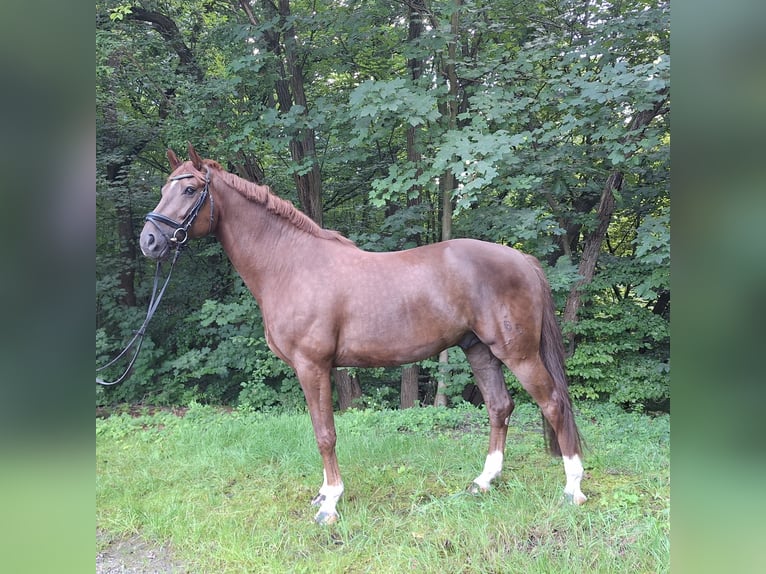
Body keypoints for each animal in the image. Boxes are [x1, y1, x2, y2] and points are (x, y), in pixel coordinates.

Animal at [140, 145, 588, 528]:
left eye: (190, 189)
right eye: (164, 188)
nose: (149, 240)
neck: (290, 265)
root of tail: (521, 258)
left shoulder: (313, 366)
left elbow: (325, 435)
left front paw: (331, 505)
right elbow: (319, 431)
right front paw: (324, 494)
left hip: (519, 353)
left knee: (553, 404)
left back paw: (573, 489)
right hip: (479, 350)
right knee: (499, 406)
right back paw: (484, 481)